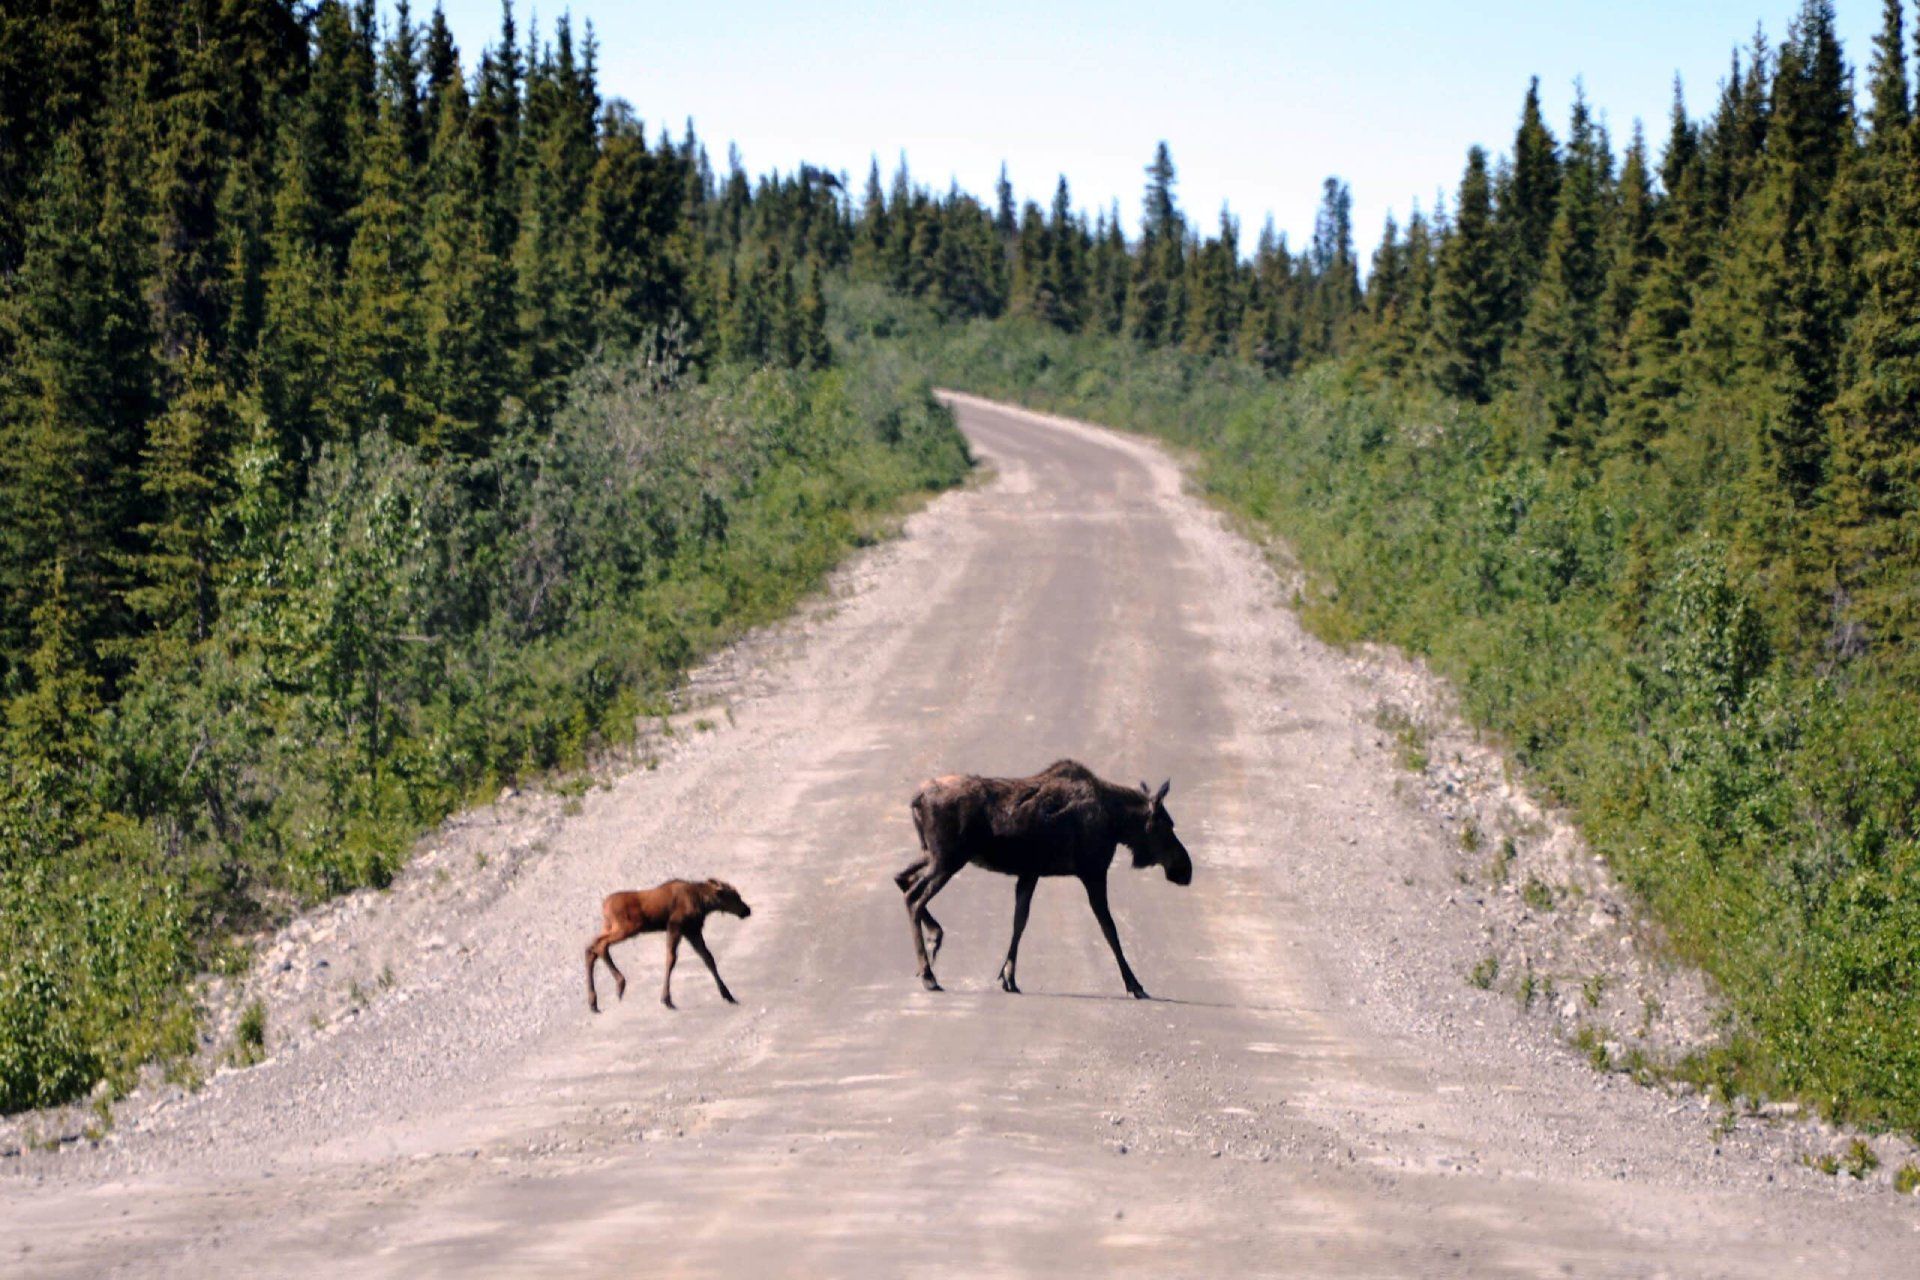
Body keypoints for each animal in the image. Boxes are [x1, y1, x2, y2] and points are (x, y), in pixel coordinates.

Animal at [584, 879, 752, 1012]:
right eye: (735, 896)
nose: (747, 910)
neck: (703, 903)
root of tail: (604, 906)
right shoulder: (676, 925)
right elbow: (671, 959)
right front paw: (666, 999)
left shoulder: (692, 930)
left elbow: (708, 958)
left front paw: (728, 995)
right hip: (627, 927)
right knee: (600, 945)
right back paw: (620, 984)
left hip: (609, 926)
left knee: (591, 948)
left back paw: (594, 1002)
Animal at [893, 760, 1192, 998]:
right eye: (1167, 826)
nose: (1185, 869)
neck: (1118, 823)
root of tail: (916, 799)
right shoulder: (1093, 872)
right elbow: (1110, 930)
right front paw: (1134, 984)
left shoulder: (1030, 872)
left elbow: (1019, 921)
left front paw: (1008, 977)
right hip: (947, 859)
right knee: (914, 897)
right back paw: (929, 974)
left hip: (932, 854)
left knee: (901, 880)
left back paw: (935, 937)